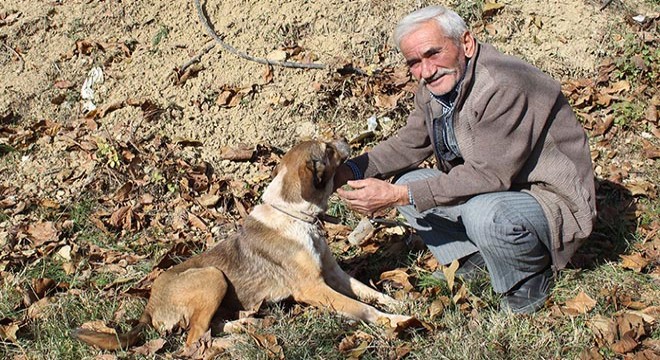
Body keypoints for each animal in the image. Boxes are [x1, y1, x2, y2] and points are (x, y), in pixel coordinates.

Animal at [72, 139, 412, 350]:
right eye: (328, 148)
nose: (343, 139)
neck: (296, 218)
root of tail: (150, 305)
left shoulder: (333, 273)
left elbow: (368, 293)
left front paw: (398, 304)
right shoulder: (313, 288)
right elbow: (362, 308)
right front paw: (395, 321)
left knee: (211, 327)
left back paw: (249, 325)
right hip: (213, 277)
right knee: (194, 339)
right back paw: (233, 342)